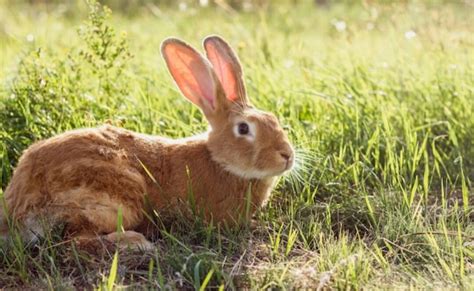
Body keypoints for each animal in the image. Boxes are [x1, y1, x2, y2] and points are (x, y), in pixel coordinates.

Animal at [0, 36, 294, 251]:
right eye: (244, 129)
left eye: (274, 119)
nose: (287, 156)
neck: (221, 161)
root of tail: (20, 204)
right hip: (116, 200)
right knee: (76, 239)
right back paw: (137, 243)